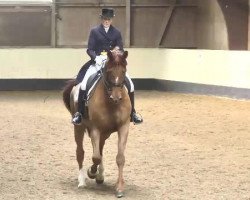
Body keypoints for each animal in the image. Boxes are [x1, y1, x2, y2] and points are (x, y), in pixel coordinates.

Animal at [63, 49, 131, 197]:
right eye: (109, 71)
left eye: (123, 71)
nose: (116, 97)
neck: (111, 103)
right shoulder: (95, 128)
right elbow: (95, 157)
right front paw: (91, 172)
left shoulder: (123, 127)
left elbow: (120, 158)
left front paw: (119, 188)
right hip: (79, 127)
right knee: (81, 152)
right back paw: (82, 180)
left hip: (105, 133)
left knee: (100, 149)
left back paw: (100, 176)